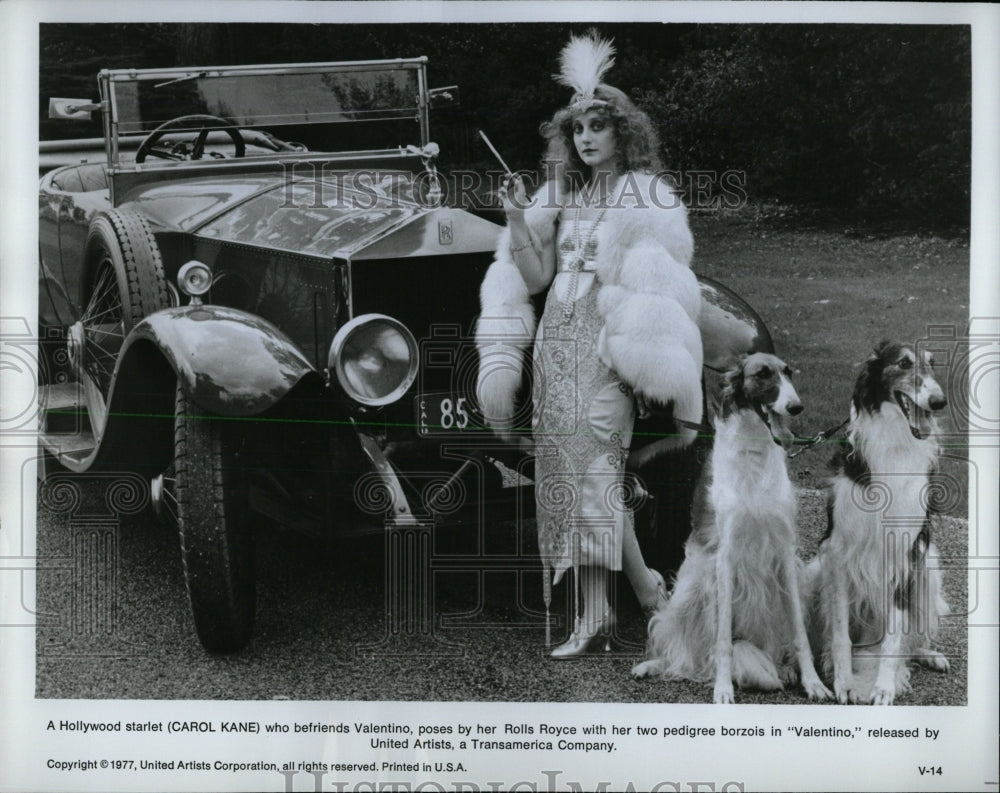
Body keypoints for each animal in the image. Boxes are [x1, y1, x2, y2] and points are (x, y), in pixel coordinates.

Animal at [632, 352, 828, 700]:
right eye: (762, 374)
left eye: (788, 373)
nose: (796, 407)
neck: (755, 456)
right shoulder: (725, 559)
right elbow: (722, 640)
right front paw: (723, 688)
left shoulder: (784, 554)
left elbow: (800, 635)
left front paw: (813, 682)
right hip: (690, 593)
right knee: (684, 653)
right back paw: (656, 665)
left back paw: (783, 668)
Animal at [808, 338, 948, 704]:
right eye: (903, 363)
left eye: (933, 363)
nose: (938, 401)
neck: (895, 443)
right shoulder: (838, 552)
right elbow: (839, 633)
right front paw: (844, 682)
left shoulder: (904, 555)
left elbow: (895, 638)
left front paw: (883, 687)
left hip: (928, 569)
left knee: (911, 640)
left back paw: (930, 655)